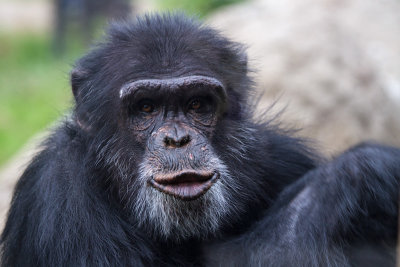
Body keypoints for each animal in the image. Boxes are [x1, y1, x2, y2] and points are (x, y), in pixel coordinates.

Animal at [0, 13, 400, 267]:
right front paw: (356, 176)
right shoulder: (61, 195)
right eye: (145, 108)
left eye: (197, 104)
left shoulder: (283, 158)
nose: (178, 139)